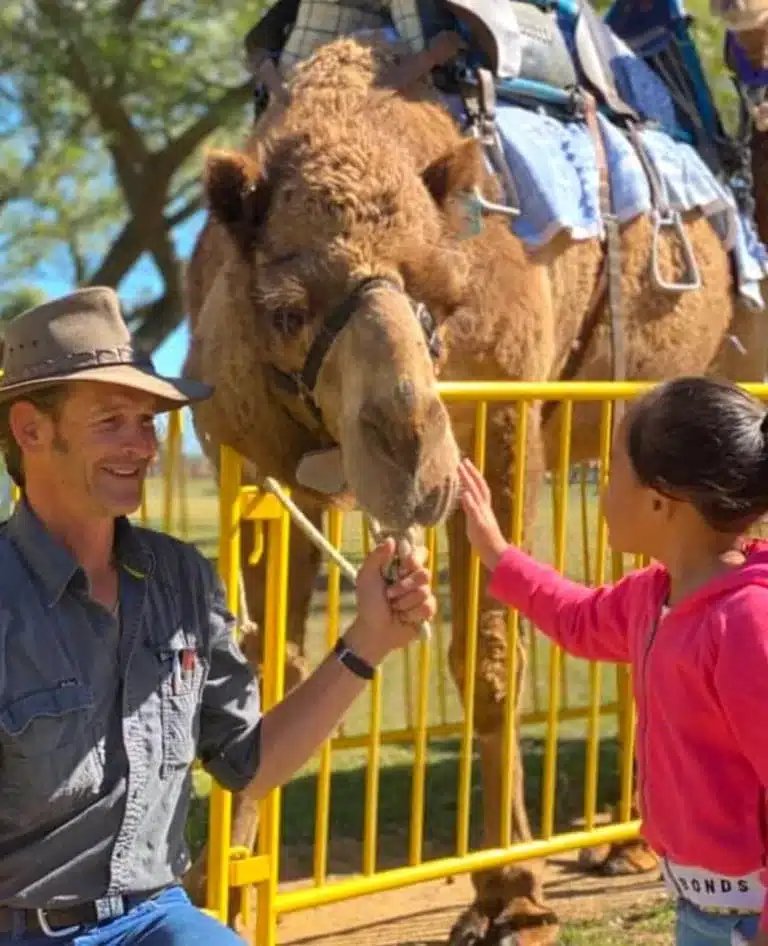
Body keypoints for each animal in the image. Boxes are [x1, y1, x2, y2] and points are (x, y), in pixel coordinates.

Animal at [182, 25, 768, 940]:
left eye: (442, 297)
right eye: (284, 309)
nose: (411, 461)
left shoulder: (505, 405)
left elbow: (491, 657)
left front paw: (514, 897)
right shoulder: (261, 452)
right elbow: (262, 658)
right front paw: (224, 890)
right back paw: (627, 844)